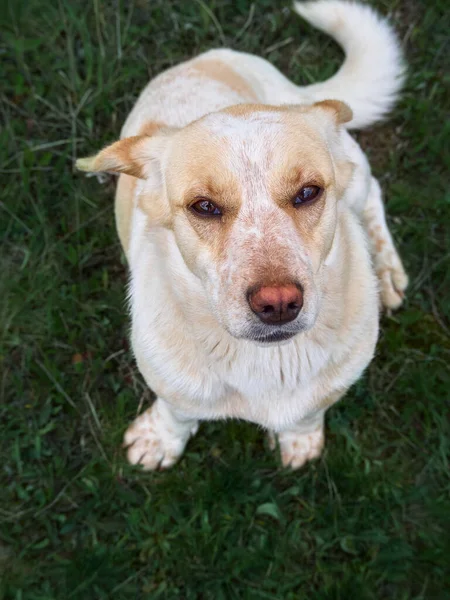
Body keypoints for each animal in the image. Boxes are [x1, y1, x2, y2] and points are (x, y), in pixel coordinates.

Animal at [76, 0, 408, 468]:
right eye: (204, 206)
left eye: (308, 192)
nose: (279, 303)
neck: (268, 364)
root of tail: (205, 58)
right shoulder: (169, 380)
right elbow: (177, 411)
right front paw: (160, 440)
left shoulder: (338, 376)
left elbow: (310, 410)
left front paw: (300, 440)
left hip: (355, 173)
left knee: (372, 193)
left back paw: (388, 272)